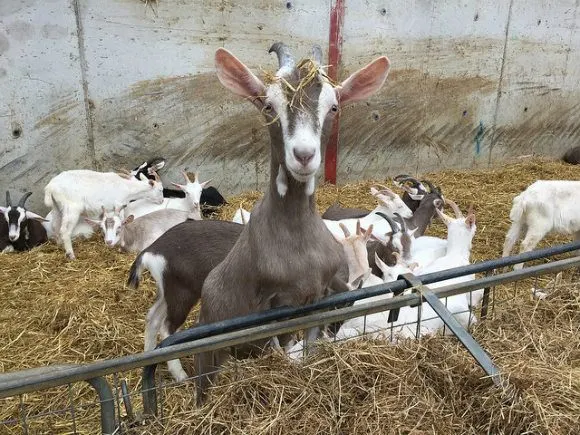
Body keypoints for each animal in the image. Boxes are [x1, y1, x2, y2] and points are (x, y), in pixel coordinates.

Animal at [195, 42, 390, 404]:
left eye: (334, 107)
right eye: (268, 105)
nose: (303, 155)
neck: (297, 239)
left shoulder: (317, 297)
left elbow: (310, 345)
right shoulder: (267, 307)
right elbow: (278, 348)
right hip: (210, 347)